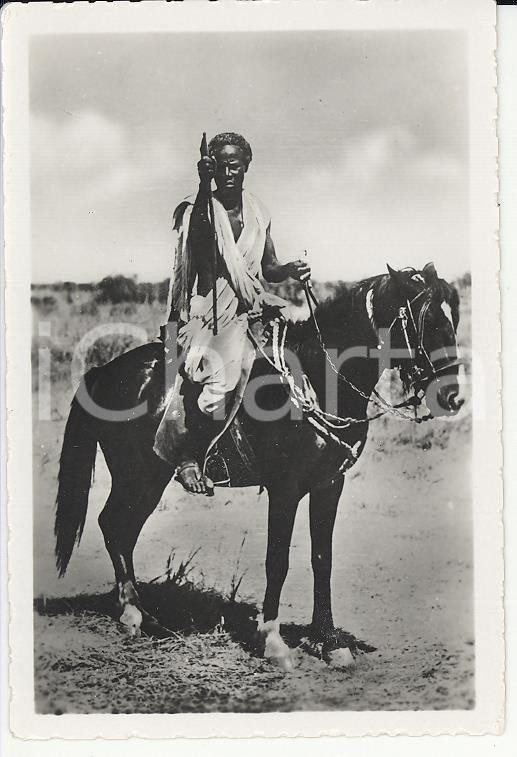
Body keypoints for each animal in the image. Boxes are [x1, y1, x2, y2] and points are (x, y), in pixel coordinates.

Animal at [54, 262, 463, 670]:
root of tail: (103, 371)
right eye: (428, 322)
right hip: (138, 477)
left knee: (120, 530)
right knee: (114, 526)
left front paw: (328, 642)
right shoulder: (286, 489)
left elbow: (322, 559)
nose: (452, 397)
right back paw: (133, 615)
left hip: (145, 480)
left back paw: (143, 616)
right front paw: (272, 641)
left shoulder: (329, 484)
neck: (317, 379)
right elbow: (277, 561)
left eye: (454, 319)